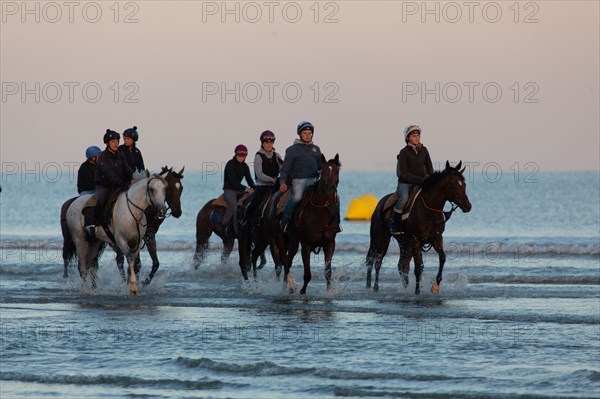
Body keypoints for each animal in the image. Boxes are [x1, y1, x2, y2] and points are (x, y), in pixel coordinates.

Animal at [266, 155, 340, 296]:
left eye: (337, 172)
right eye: (323, 173)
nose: (330, 190)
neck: (321, 213)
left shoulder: (330, 243)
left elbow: (328, 272)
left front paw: (329, 293)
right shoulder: (306, 245)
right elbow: (307, 274)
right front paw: (302, 291)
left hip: (293, 241)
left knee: (288, 260)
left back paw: (286, 287)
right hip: (278, 236)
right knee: (284, 260)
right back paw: (291, 284)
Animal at [364, 161, 472, 296]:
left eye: (464, 184)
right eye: (452, 185)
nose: (468, 206)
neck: (429, 210)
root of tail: (380, 204)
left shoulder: (436, 238)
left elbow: (442, 257)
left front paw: (435, 286)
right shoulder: (416, 240)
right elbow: (419, 266)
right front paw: (417, 291)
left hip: (404, 242)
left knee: (402, 265)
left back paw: (404, 287)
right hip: (381, 238)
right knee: (376, 260)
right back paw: (374, 286)